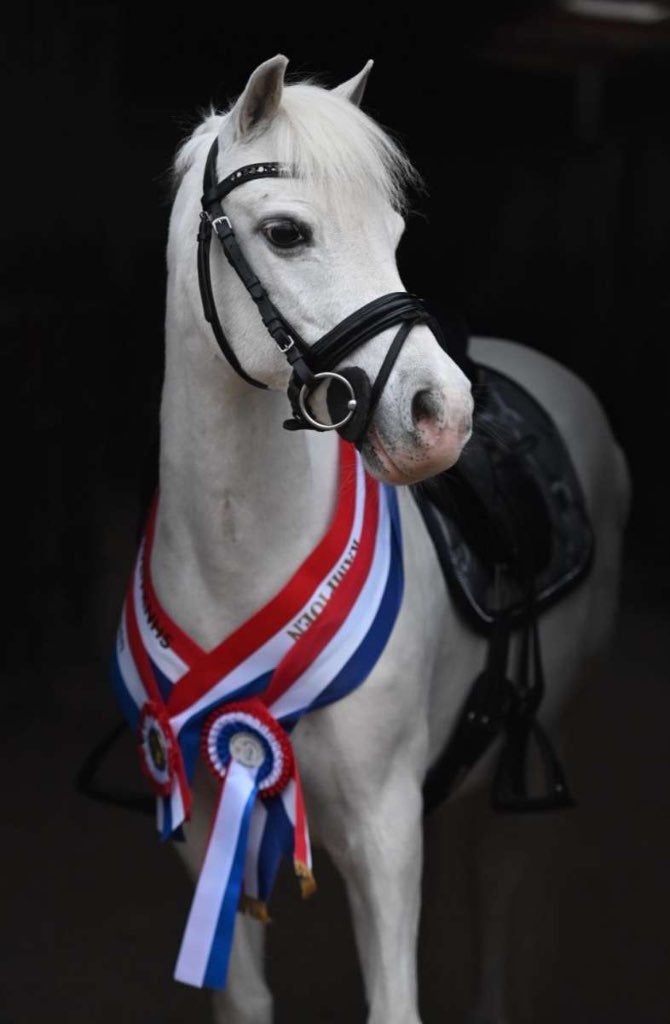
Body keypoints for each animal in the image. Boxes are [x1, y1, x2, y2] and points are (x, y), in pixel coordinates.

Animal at [120, 54, 630, 1024]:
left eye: (392, 231)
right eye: (286, 233)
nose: (442, 416)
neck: (238, 565)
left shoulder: (384, 836)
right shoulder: (204, 823)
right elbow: (245, 998)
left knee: (506, 891)